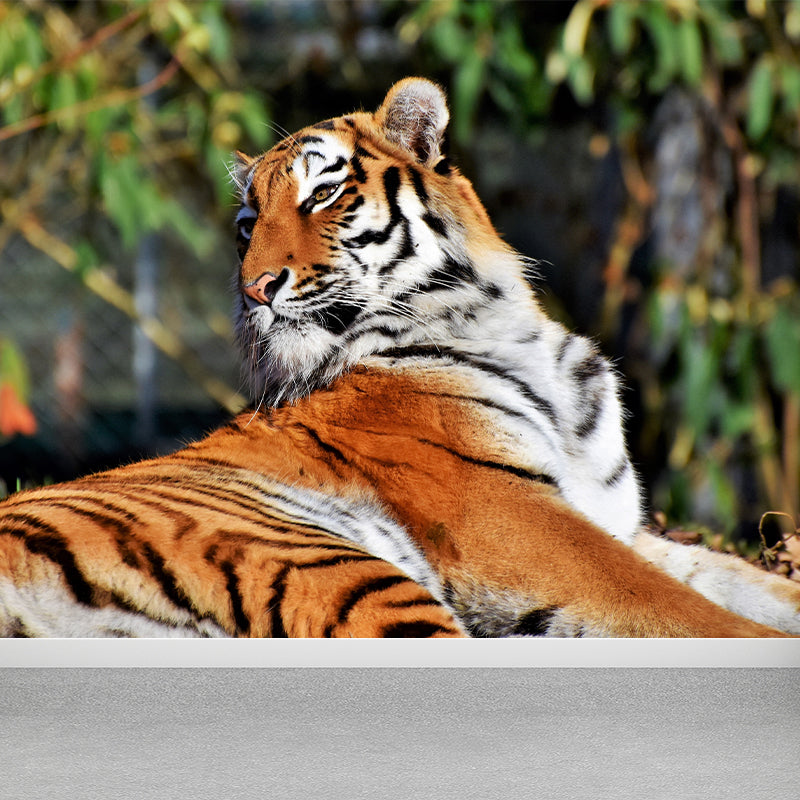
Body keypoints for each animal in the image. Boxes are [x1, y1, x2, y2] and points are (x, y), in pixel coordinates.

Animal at [2, 78, 799, 637]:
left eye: (323, 194)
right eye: (248, 225)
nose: (255, 288)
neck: (512, 330)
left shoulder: (616, 524)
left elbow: (746, 583)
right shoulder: (520, 524)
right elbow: (691, 613)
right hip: (328, 562)